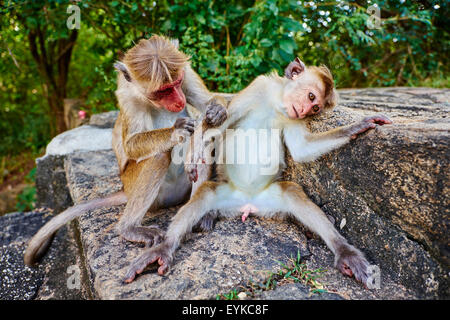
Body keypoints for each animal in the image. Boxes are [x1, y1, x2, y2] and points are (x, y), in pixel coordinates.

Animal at [24, 34, 229, 264]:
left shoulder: (187, 73)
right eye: (163, 91)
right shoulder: (127, 97)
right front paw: (177, 131)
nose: (179, 100)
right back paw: (129, 228)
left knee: (204, 142)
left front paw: (216, 110)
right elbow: (131, 145)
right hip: (142, 188)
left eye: (176, 83)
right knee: (158, 155)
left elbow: (208, 102)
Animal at [123, 57, 390, 288]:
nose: (305, 110)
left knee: (293, 193)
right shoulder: (258, 87)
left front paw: (357, 126)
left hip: (272, 200)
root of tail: (248, 204)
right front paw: (195, 151)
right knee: (205, 194)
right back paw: (164, 247)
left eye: (315, 108)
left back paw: (344, 251)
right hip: (225, 196)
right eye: (311, 96)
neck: (276, 104)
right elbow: (217, 128)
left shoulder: (292, 118)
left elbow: (302, 150)